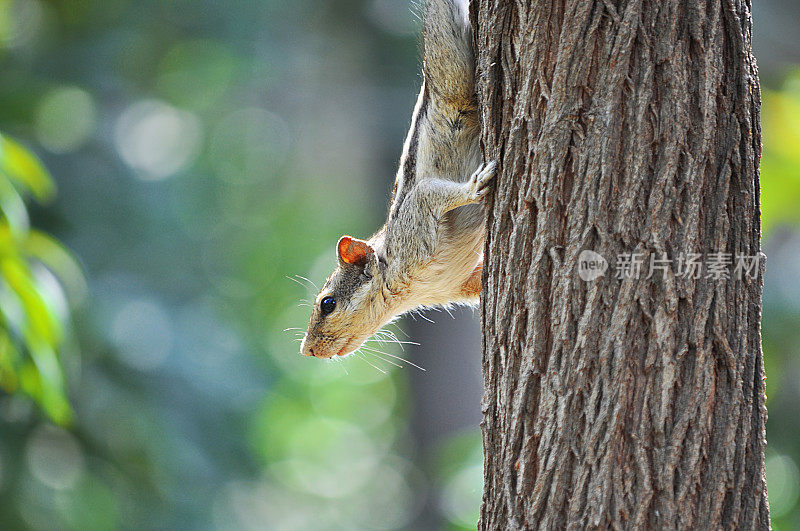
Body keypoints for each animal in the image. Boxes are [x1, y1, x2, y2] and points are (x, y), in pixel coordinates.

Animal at [304, 0, 496, 360]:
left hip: (452, 77)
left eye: (328, 303)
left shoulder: (414, 220)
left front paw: (473, 188)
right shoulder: (456, 284)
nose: (307, 350)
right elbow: (476, 284)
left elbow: (429, 192)